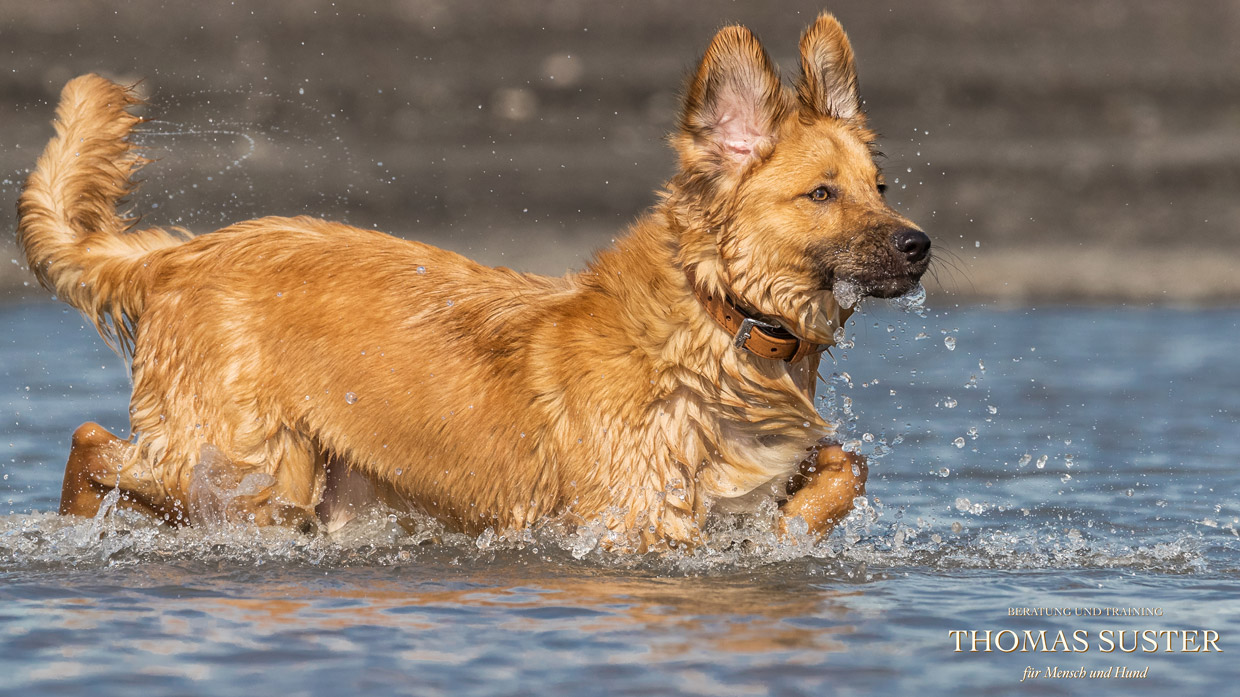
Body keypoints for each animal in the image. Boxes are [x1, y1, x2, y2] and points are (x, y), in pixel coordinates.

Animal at [19, 12, 932, 548]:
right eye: (822, 193)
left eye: (881, 185)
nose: (921, 244)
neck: (724, 323)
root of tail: (175, 254)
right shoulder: (635, 521)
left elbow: (843, 468)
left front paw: (793, 529)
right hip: (246, 469)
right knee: (92, 442)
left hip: (302, 477)